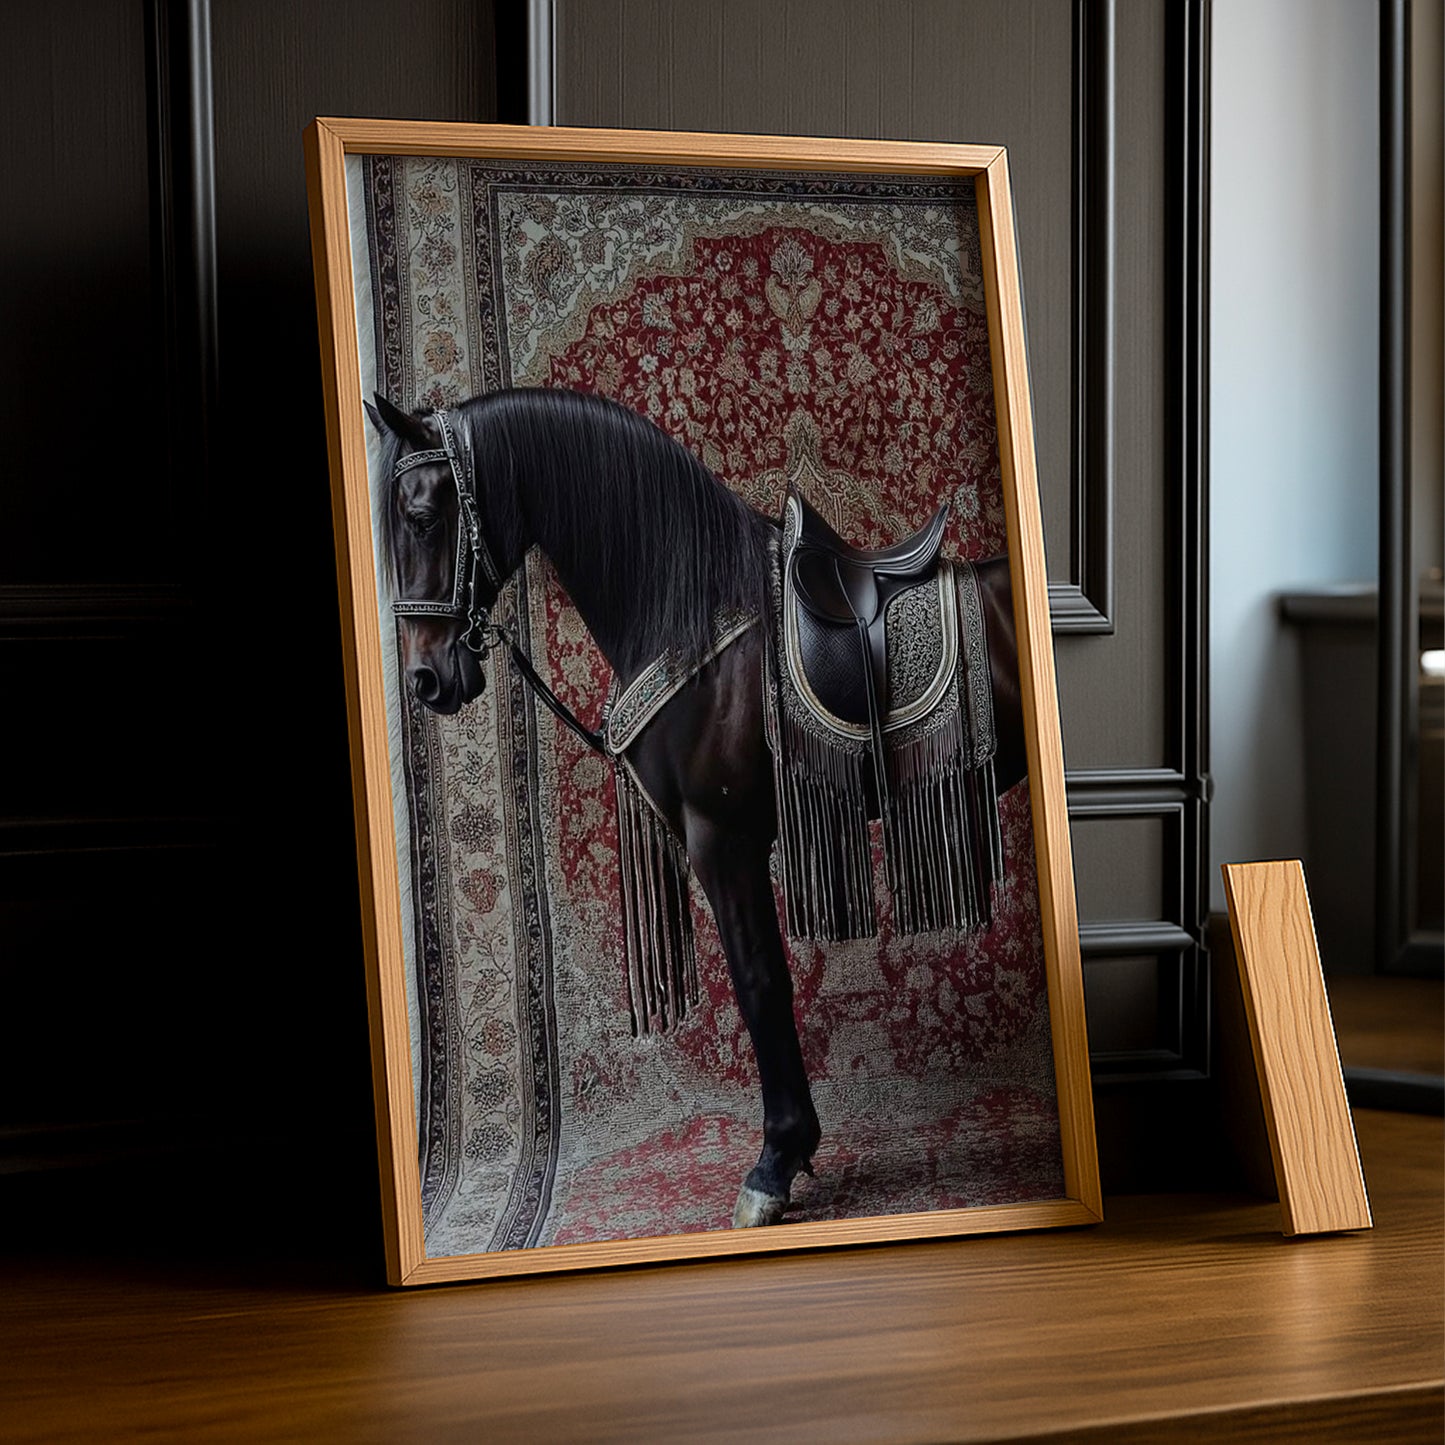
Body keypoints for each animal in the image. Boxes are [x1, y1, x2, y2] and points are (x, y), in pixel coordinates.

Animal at [366, 386, 1026, 1229]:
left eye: (422, 514)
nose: (425, 681)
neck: (693, 616)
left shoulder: (723, 838)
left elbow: (759, 981)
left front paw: (775, 1162)